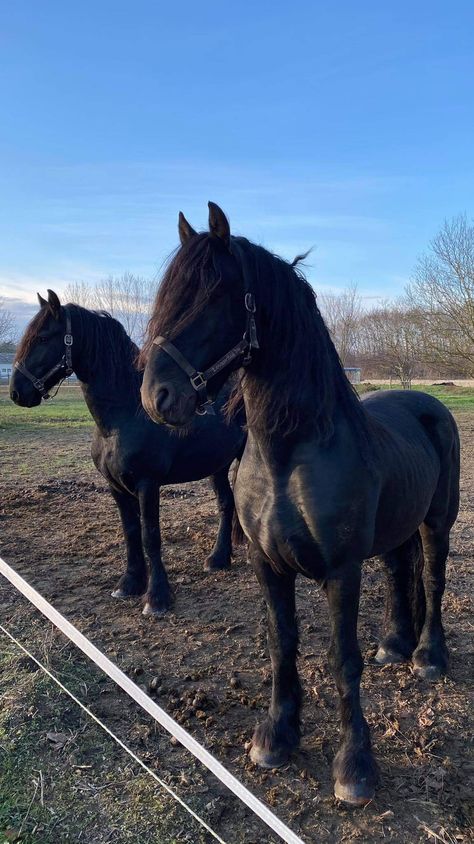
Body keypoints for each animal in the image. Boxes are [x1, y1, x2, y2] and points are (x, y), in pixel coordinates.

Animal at [11, 294, 246, 616]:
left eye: (44, 337)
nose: (16, 392)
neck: (124, 416)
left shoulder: (148, 484)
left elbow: (150, 536)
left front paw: (157, 598)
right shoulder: (116, 487)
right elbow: (131, 532)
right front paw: (130, 584)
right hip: (217, 465)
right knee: (226, 503)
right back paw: (218, 559)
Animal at [140, 203, 460, 804]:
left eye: (215, 292)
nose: (156, 397)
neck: (290, 455)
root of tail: (427, 403)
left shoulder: (341, 570)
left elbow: (342, 659)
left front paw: (355, 768)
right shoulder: (266, 564)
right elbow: (280, 643)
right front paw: (276, 736)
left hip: (437, 522)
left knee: (430, 578)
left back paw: (428, 657)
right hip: (396, 528)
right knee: (399, 571)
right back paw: (395, 643)